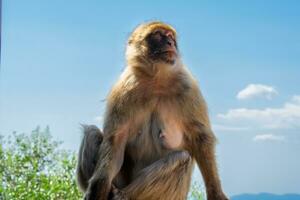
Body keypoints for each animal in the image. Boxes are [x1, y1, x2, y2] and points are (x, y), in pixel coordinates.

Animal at [76, 20, 229, 200]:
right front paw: (98, 188)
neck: (156, 80)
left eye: (170, 37)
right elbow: (115, 140)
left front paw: (215, 192)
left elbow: (201, 137)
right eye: (157, 35)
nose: (170, 43)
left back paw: (123, 195)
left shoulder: (188, 87)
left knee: (181, 157)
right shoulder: (123, 89)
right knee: (92, 132)